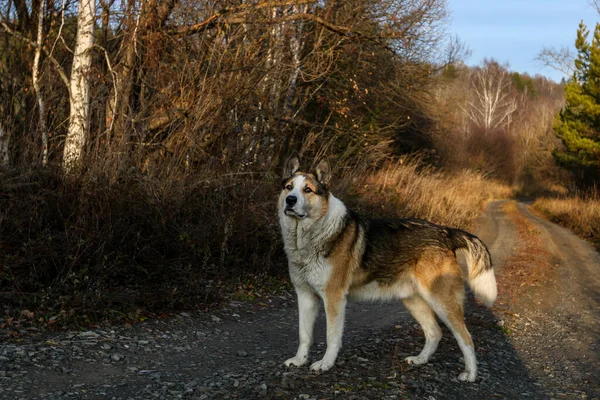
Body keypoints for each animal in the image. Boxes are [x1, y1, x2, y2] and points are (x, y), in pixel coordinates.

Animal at [278, 153, 500, 382]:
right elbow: (304, 335)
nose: (290, 200)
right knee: (434, 332)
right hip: (413, 300)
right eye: (288, 187)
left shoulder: (334, 298)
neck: (310, 235)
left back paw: (470, 374)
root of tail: (446, 232)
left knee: (466, 338)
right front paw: (299, 360)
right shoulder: (305, 296)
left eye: (307, 190)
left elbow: (331, 337)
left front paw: (325, 364)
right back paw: (420, 360)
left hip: (443, 302)